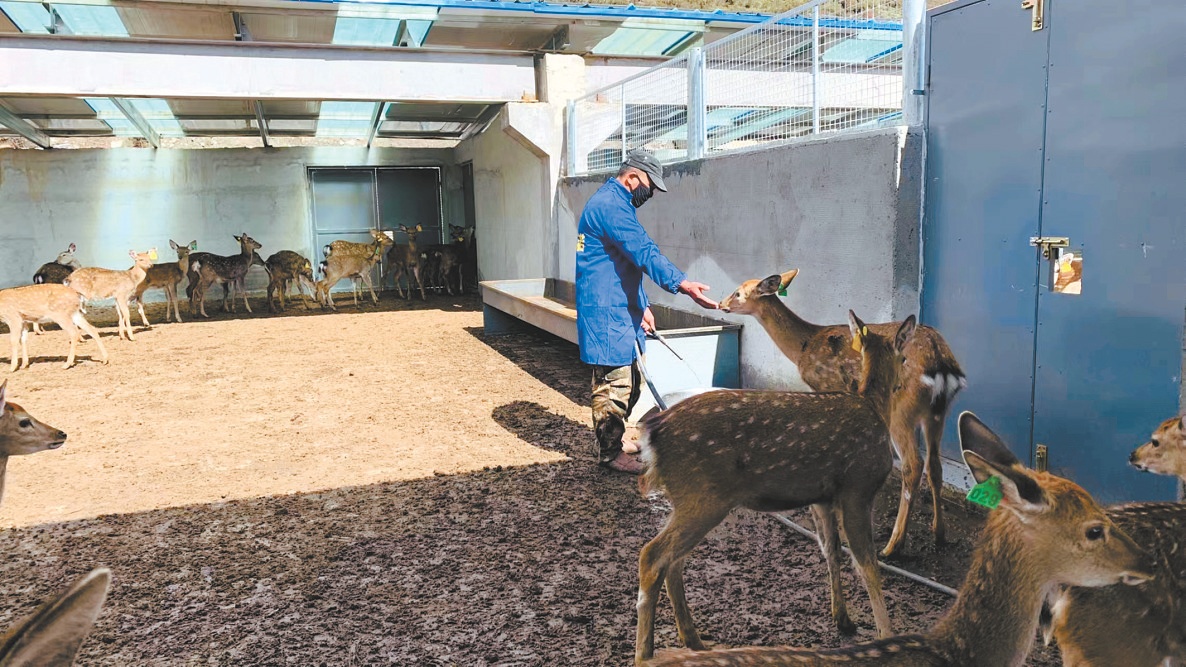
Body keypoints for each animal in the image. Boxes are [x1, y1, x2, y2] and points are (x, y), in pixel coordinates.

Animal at [635, 308, 910, 659]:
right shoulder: (858, 488)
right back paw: (646, 653)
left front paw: (843, 619)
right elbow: (868, 566)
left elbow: (831, 550)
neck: (875, 408)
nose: (904, 382)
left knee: (673, 561)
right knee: (653, 556)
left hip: (687, 499)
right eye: (904, 357)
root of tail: (652, 435)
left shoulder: (822, 497)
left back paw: (694, 640)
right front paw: (887, 635)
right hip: (703, 495)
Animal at [716, 270, 967, 555]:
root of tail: (942, 364)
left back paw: (893, 546)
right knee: (934, 464)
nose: (720, 303)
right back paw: (939, 534)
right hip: (938, 412)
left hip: (902, 410)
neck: (803, 347)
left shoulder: (827, 385)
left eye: (738, 292)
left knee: (913, 465)